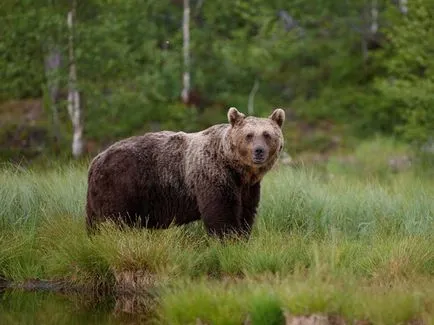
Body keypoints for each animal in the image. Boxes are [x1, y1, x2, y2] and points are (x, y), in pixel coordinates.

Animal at [86, 107, 286, 237]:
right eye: (249, 135)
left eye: (267, 134)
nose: (259, 151)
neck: (238, 170)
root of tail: (96, 159)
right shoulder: (212, 175)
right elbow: (222, 212)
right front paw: (228, 239)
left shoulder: (248, 187)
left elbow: (246, 211)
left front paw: (242, 236)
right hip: (121, 185)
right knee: (113, 220)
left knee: (93, 222)